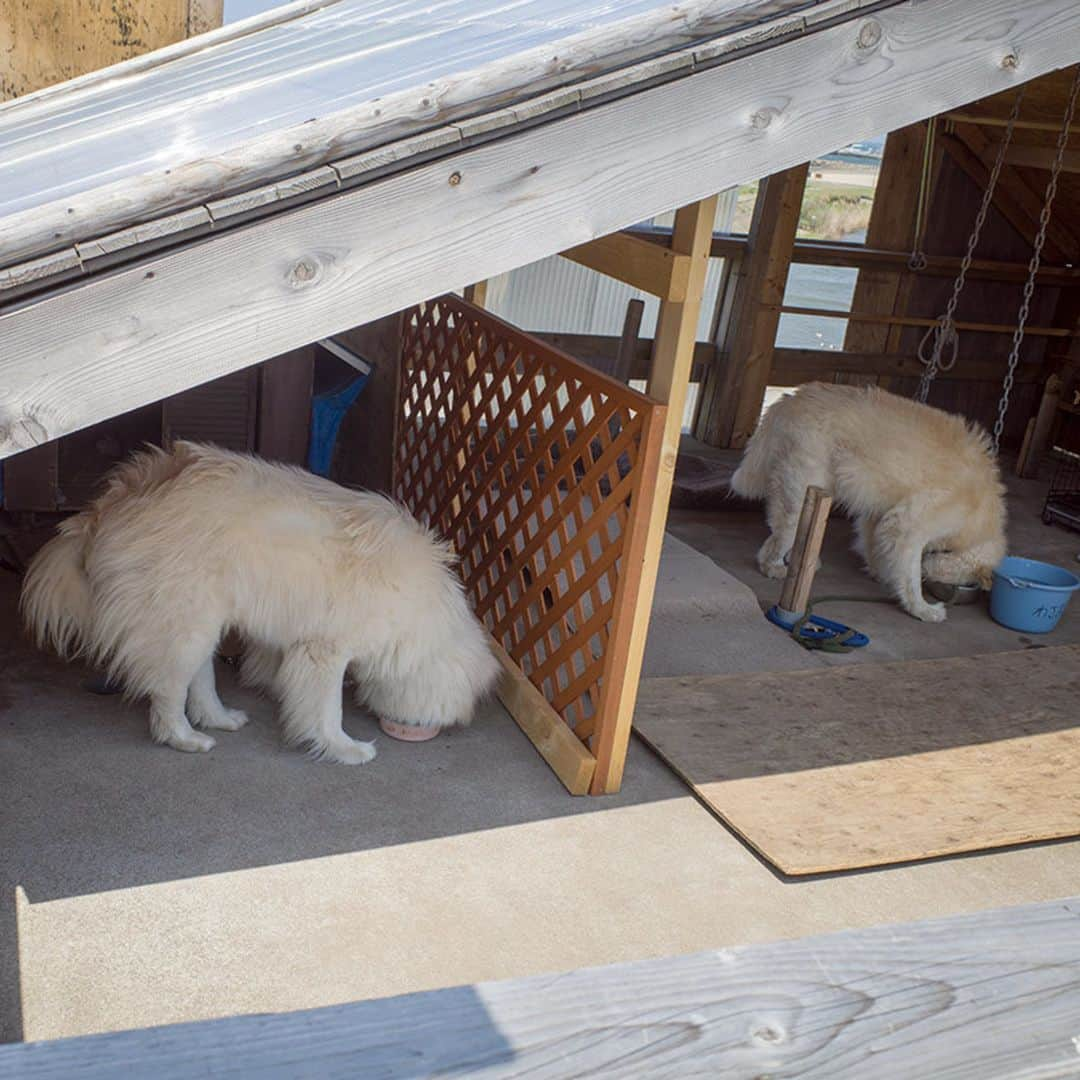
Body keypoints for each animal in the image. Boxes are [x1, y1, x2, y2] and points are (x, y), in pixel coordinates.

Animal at [19, 438, 501, 760]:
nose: (433, 728)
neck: (423, 617)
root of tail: (111, 500)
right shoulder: (326, 650)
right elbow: (327, 710)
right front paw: (344, 749)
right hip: (184, 626)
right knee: (168, 693)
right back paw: (186, 738)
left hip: (205, 621)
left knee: (200, 682)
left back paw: (220, 717)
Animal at [730, 384, 1006, 626]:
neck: (980, 512)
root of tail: (790, 399)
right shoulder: (908, 527)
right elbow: (911, 576)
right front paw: (922, 609)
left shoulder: (880, 516)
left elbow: (876, 548)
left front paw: (882, 574)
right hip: (803, 496)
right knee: (773, 544)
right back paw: (776, 567)